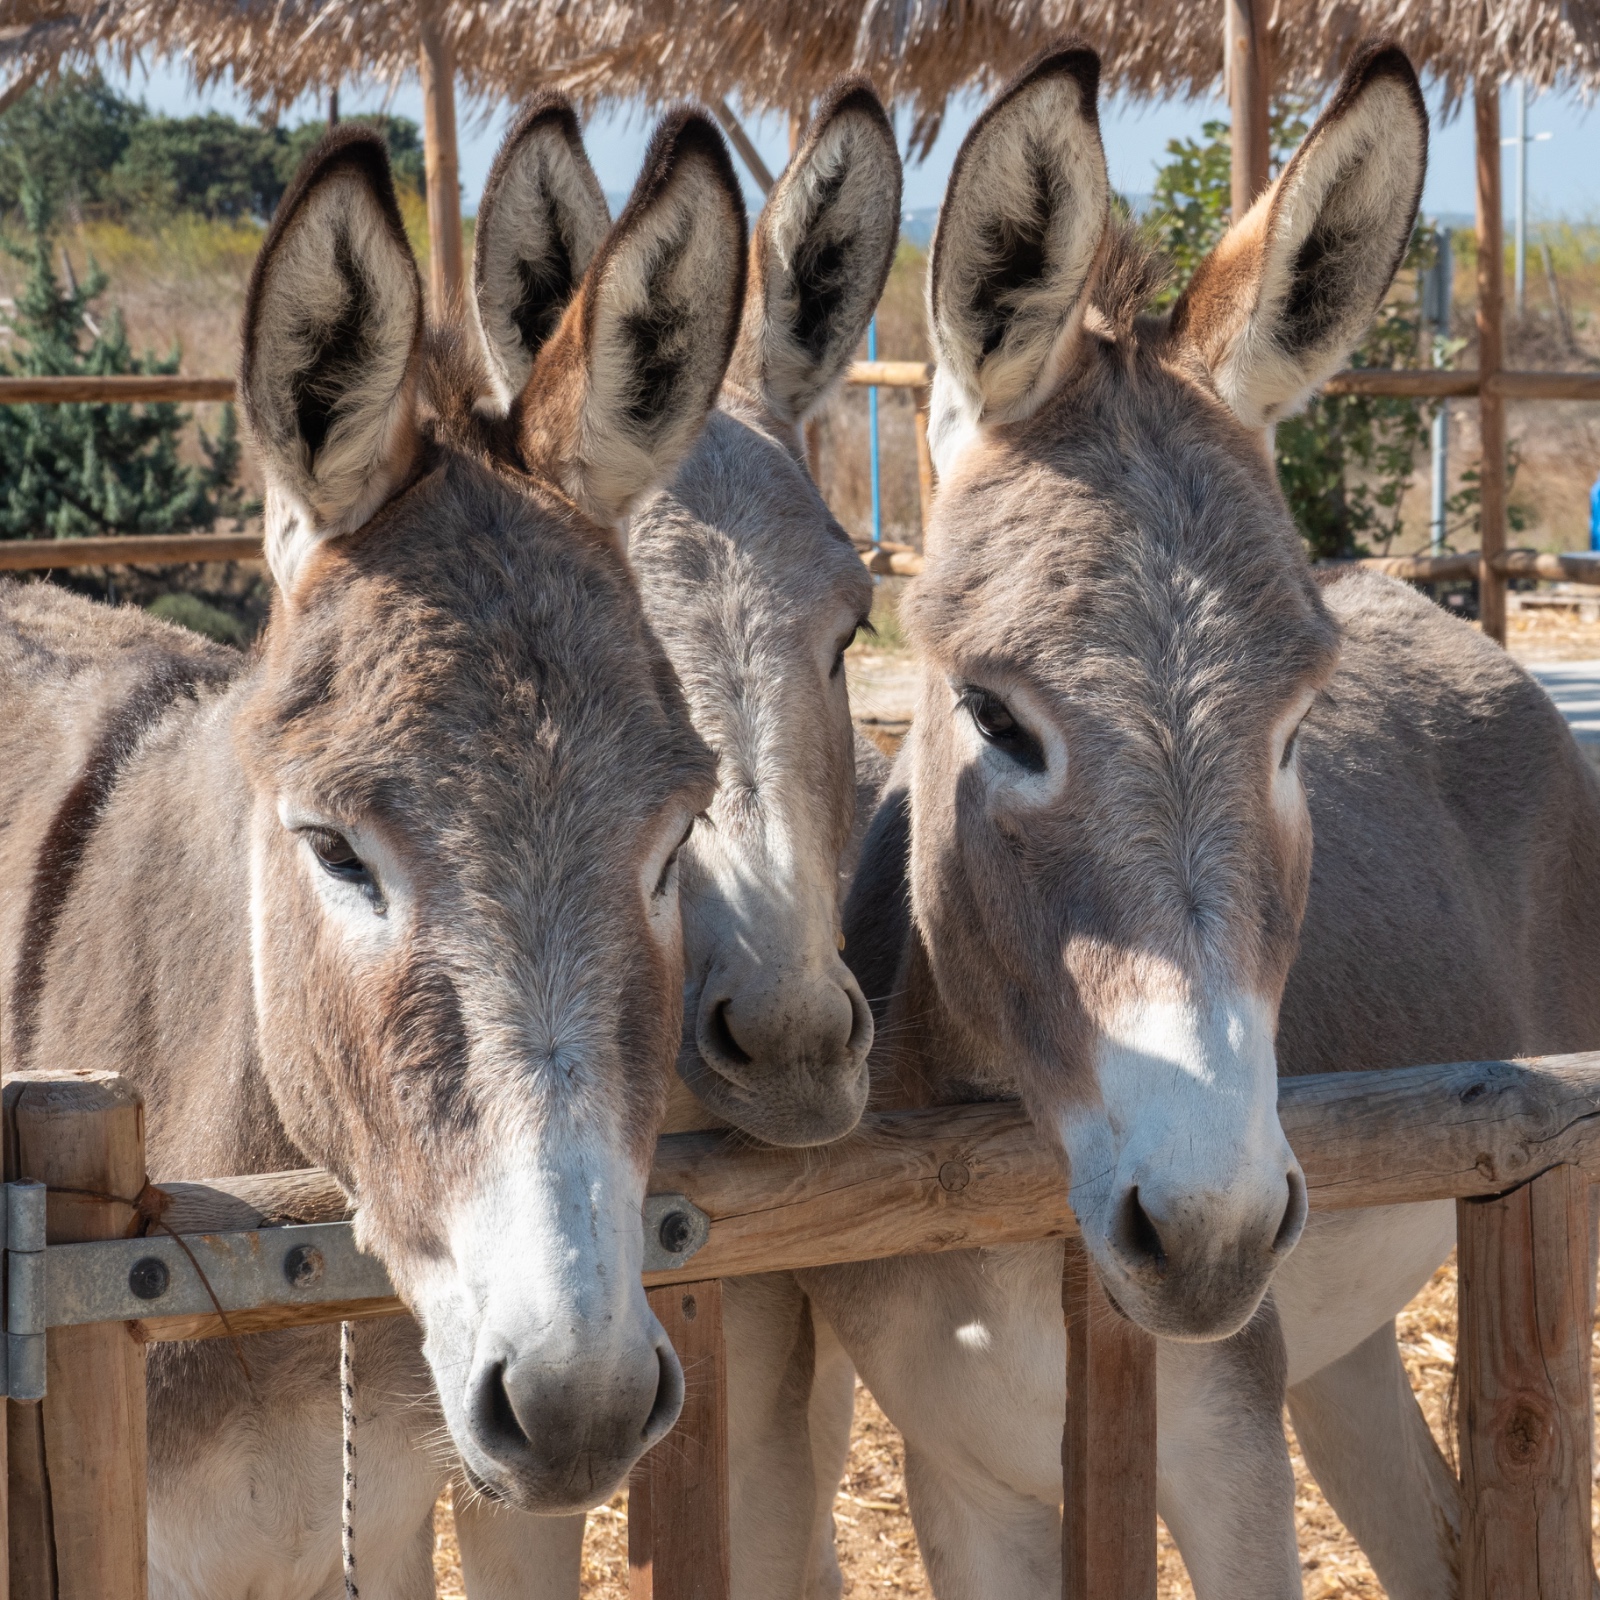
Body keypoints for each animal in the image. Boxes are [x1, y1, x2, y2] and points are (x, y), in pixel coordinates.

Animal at [797, 44, 1600, 1600]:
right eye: (991, 715)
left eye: (1298, 727)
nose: (1209, 1229)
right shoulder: (960, 1480)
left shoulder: (1227, 1453)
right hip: (1333, 1343)